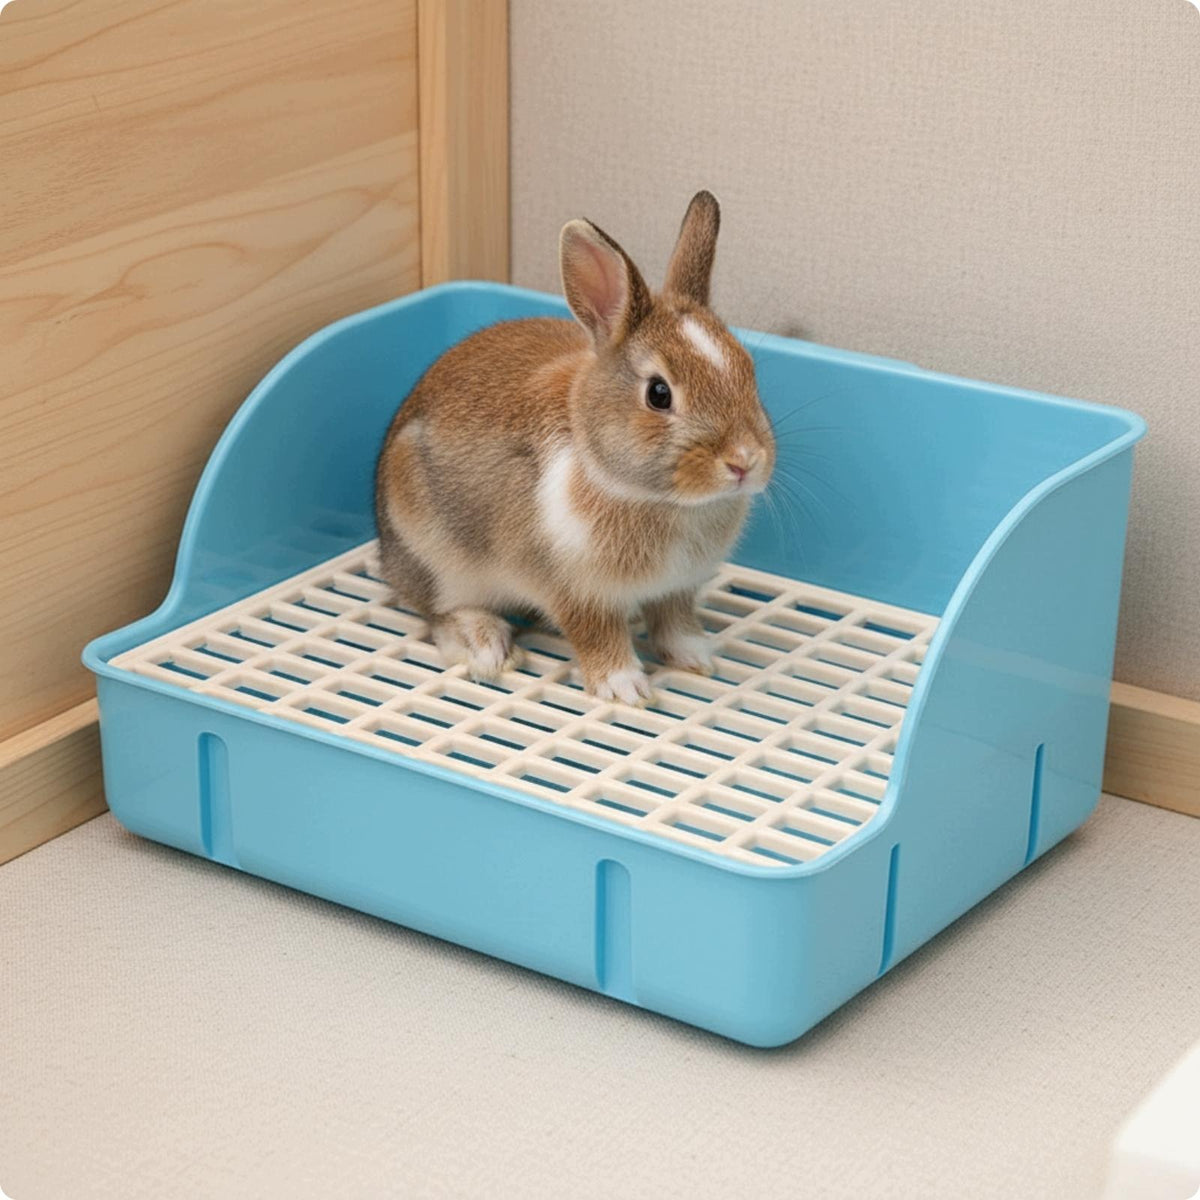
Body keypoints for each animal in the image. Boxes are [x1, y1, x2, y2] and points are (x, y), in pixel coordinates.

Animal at [374, 190, 776, 705]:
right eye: (659, 394)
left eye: (749, 370)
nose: (744, 461)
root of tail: (387, 554)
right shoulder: (574, 593)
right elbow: (597, 637)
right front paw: (625, 689)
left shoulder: (676, 589)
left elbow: (674, 623)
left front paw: (697, 658)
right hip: (436, 554)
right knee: (437, 612)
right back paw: (487, 646)